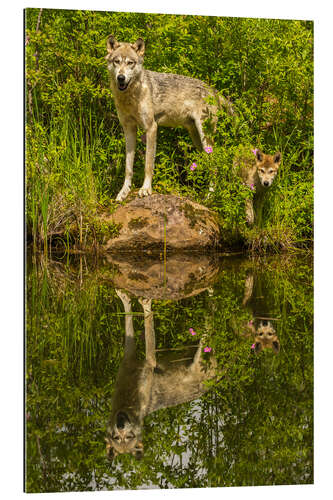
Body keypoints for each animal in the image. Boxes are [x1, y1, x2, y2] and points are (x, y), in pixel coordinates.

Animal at [105, 36, 232, 202]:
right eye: (117, 61)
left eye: (130, 63)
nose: (121, 78)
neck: (131, 97)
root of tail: (213, 90)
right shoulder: (129, 130)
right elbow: (128, 168)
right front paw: (124, 192)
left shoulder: (151, 128)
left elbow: (148, 164)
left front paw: (145, 189)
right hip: (197, 139)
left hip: (205, 138)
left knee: (215, 166)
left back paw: (209, 197)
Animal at [105, 290, 217, 460]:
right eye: (117, 437)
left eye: (129, 437)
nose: (120, 423)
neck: (127, 403)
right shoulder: (132, 356)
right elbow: (133, 320)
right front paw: (128, 299)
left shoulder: (148, 361)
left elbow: (145, 322)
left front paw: (136, 301)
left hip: (202, 346)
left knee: (211, 317)